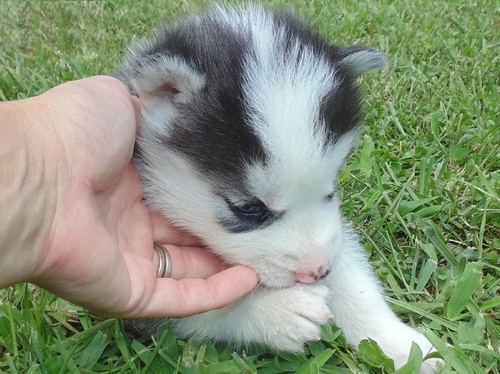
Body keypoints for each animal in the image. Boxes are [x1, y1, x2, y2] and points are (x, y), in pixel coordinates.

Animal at [119, 5, 444, 372]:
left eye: (331, 190)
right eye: (249, 209)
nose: (318, 271)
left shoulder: (334, 232)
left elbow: (353, 276)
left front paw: (401, 343)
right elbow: (203, 309)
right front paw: (278, 311)